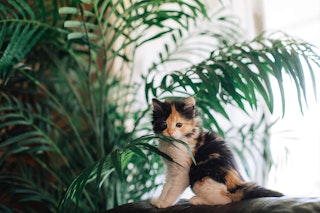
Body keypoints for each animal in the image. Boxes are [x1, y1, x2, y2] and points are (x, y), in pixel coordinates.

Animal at [150, 97, 282, 208]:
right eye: (164, 124)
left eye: (179, 125)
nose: (171, 133)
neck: (172, 145)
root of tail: (236, 184)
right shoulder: (171, 169)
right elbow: (167, 186)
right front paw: (159, 201)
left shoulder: (182, 172)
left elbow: (173, 190)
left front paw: (165, 204)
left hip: (199, 180)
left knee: (225, 200)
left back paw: (196, 200)